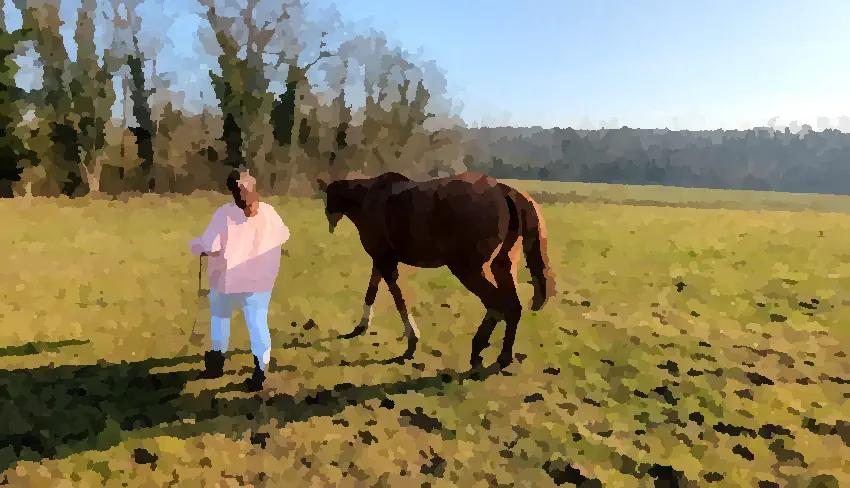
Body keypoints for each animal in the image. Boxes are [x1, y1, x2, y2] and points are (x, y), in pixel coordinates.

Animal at [316, 171, 556, 370]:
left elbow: (397, 297)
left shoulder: (385, 262)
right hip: (501, 267)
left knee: (497, 305)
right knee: (512, 307)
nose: (329, 221)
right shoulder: (381, 259)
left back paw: (478, 351)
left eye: (328, 198)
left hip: (468, 270)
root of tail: (502, 189)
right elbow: (372, 290)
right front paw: (361, 325)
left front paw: (411, 339)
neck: (369, 198)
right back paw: (503, 357)